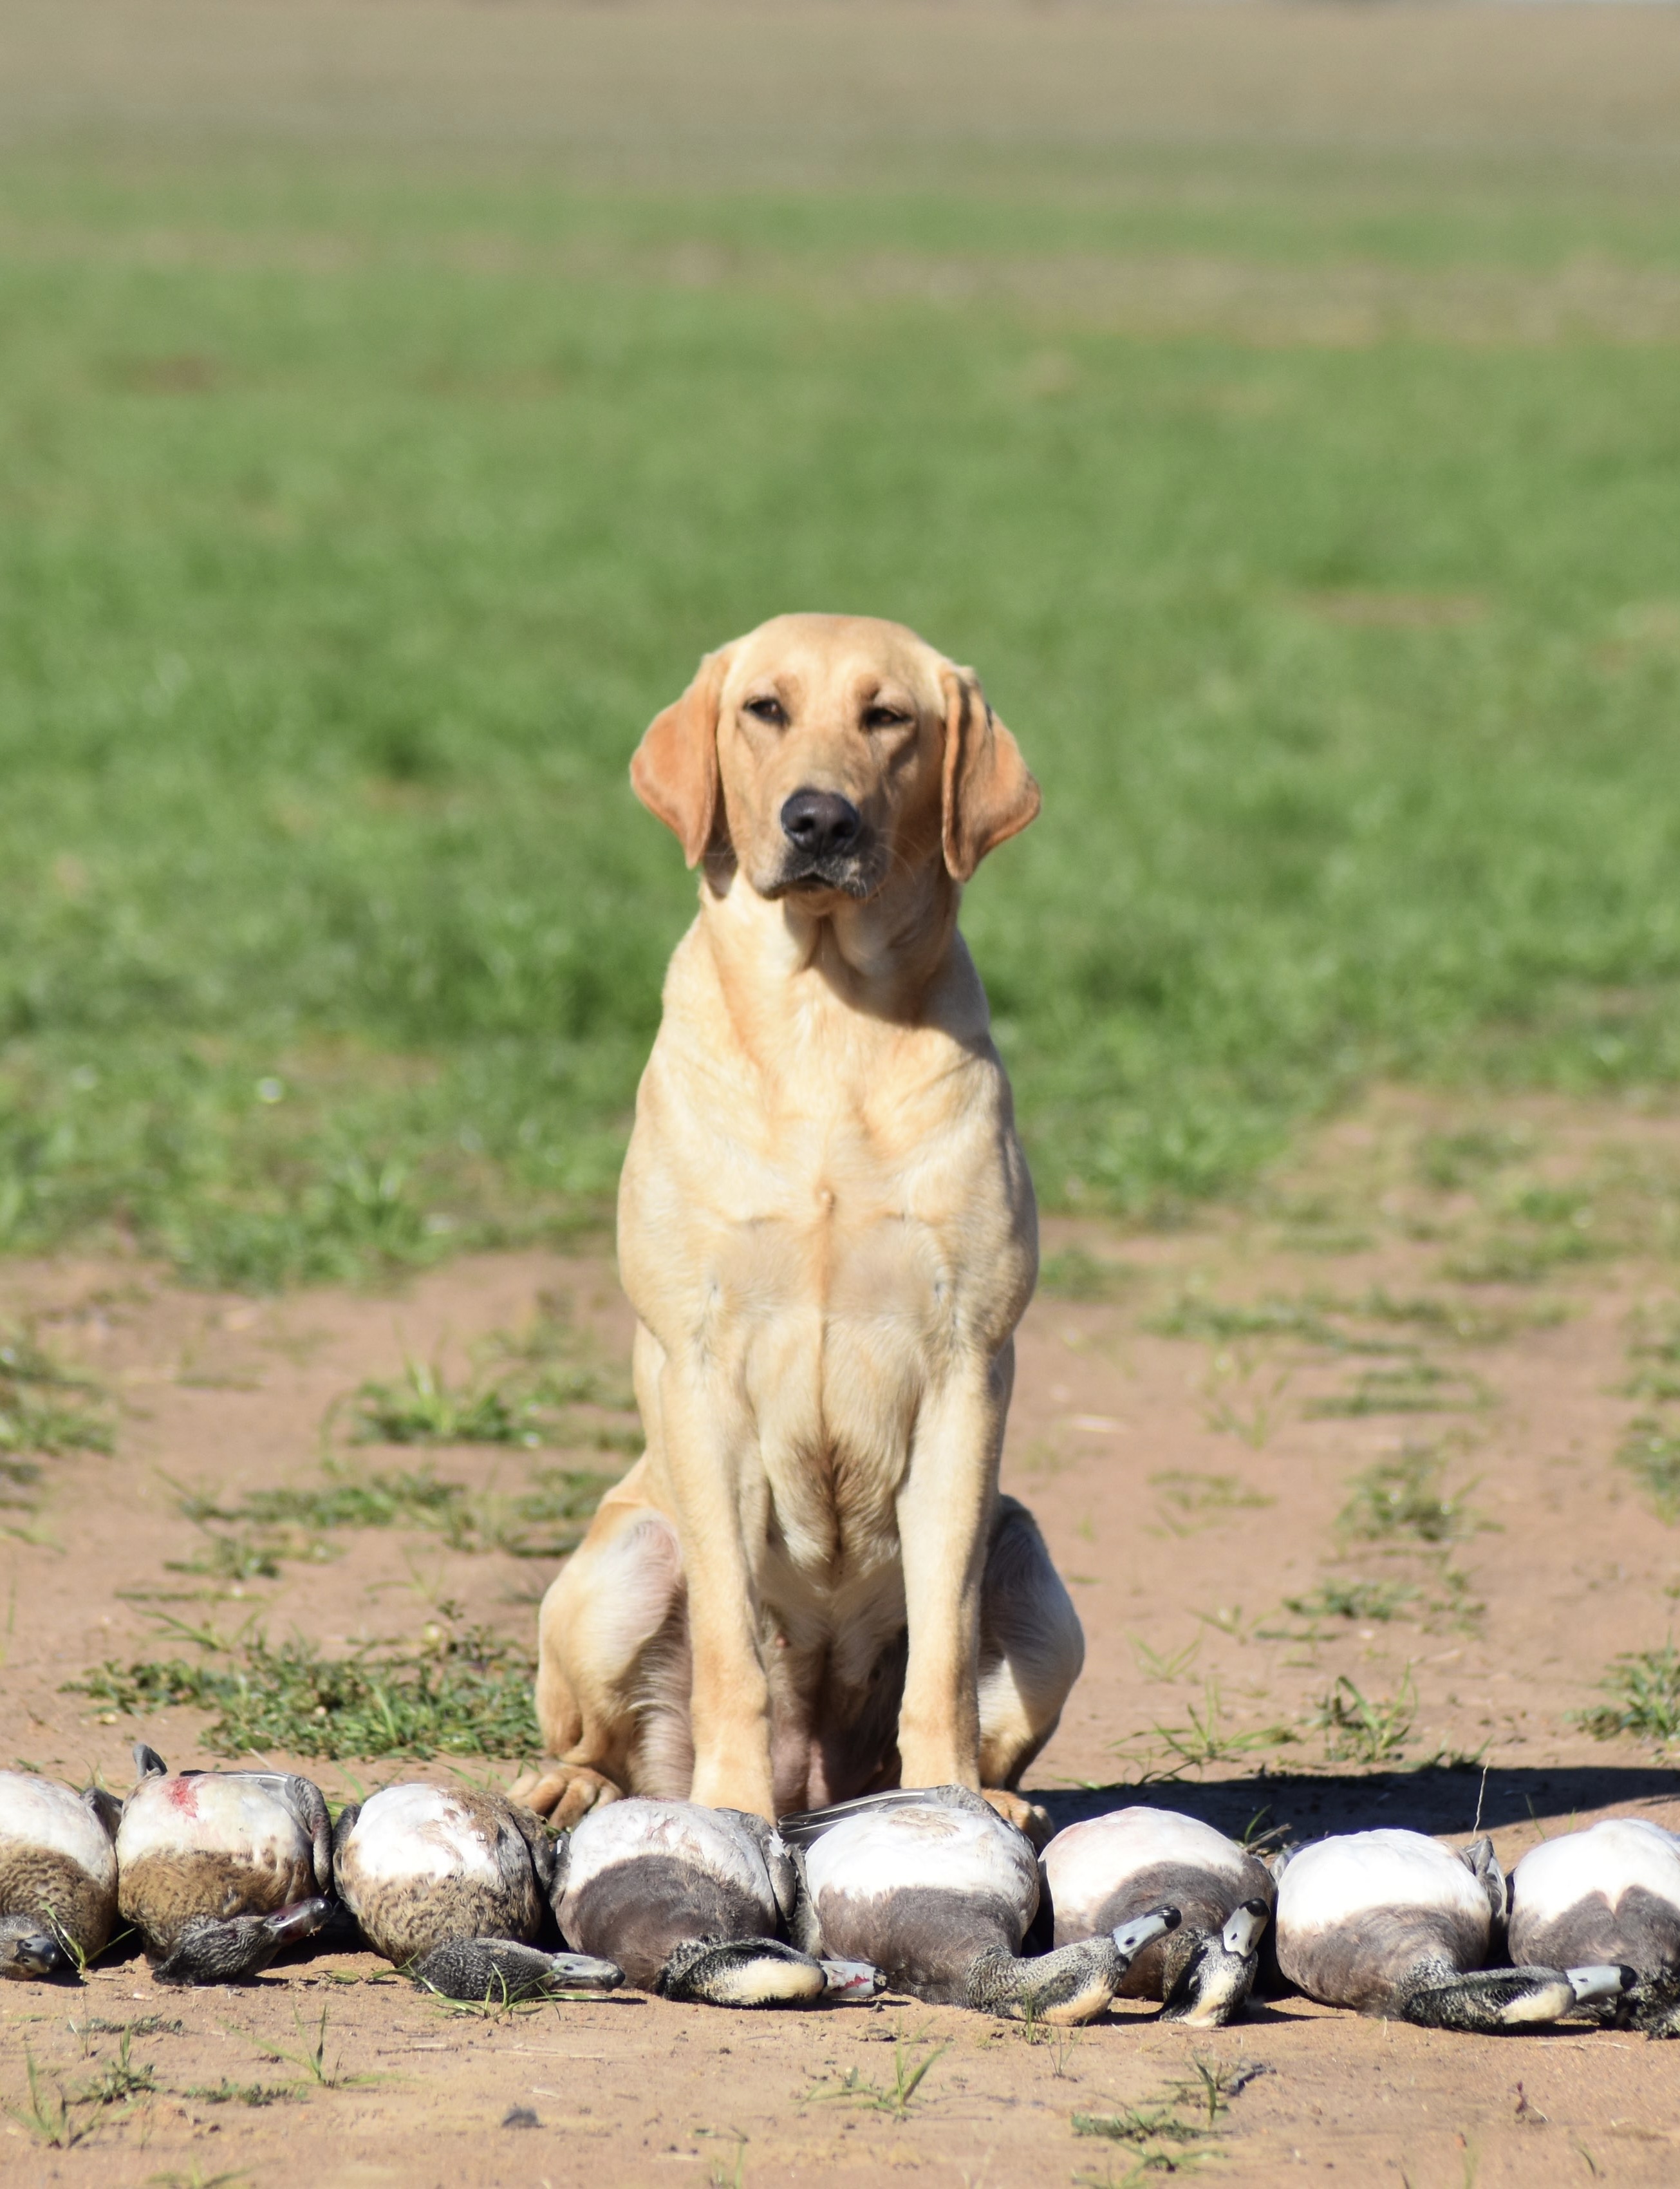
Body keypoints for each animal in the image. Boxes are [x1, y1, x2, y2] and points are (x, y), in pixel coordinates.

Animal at [512, 613, 1085, 1830]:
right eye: (764, 709)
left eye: (889, 717)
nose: (820, 819)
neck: (827, 1015)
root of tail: (815, 1777)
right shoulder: (697, 1366)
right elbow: (732, 1642)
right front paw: (727, 1809)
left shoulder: (966, 1368)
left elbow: (944, 1654)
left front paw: (948, 1802)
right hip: (617, 1563)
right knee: (603, 1736)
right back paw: (579, 1787)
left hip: (1037, 1576)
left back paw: (989, 1799)